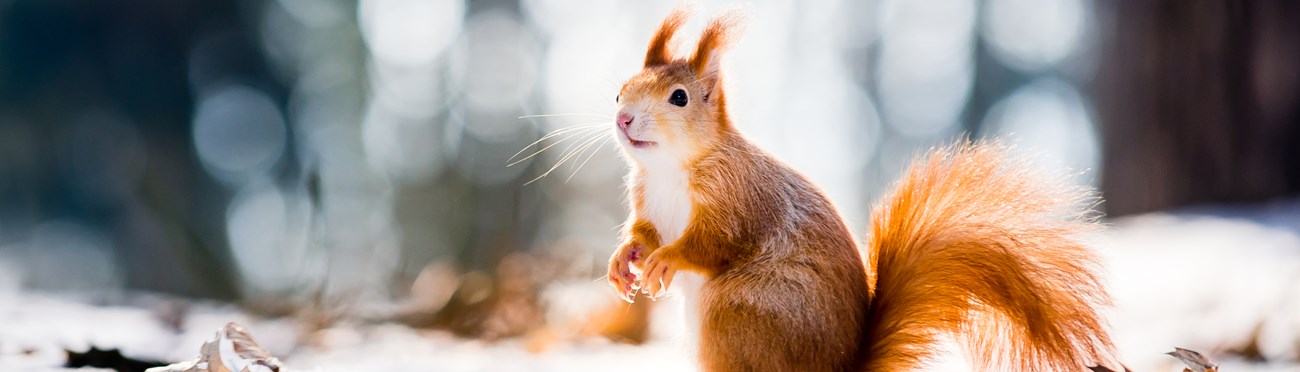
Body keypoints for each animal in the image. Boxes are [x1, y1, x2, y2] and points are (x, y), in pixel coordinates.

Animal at [600, 6, 1118, 372]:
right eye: (622, 88)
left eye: (679, 98)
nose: (623, 118)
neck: (671, 169)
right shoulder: (646, 199)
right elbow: (644, 231)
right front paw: (625, 258)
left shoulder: (739, 200)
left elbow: (716, 242)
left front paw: (666, 259)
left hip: (740, 313)